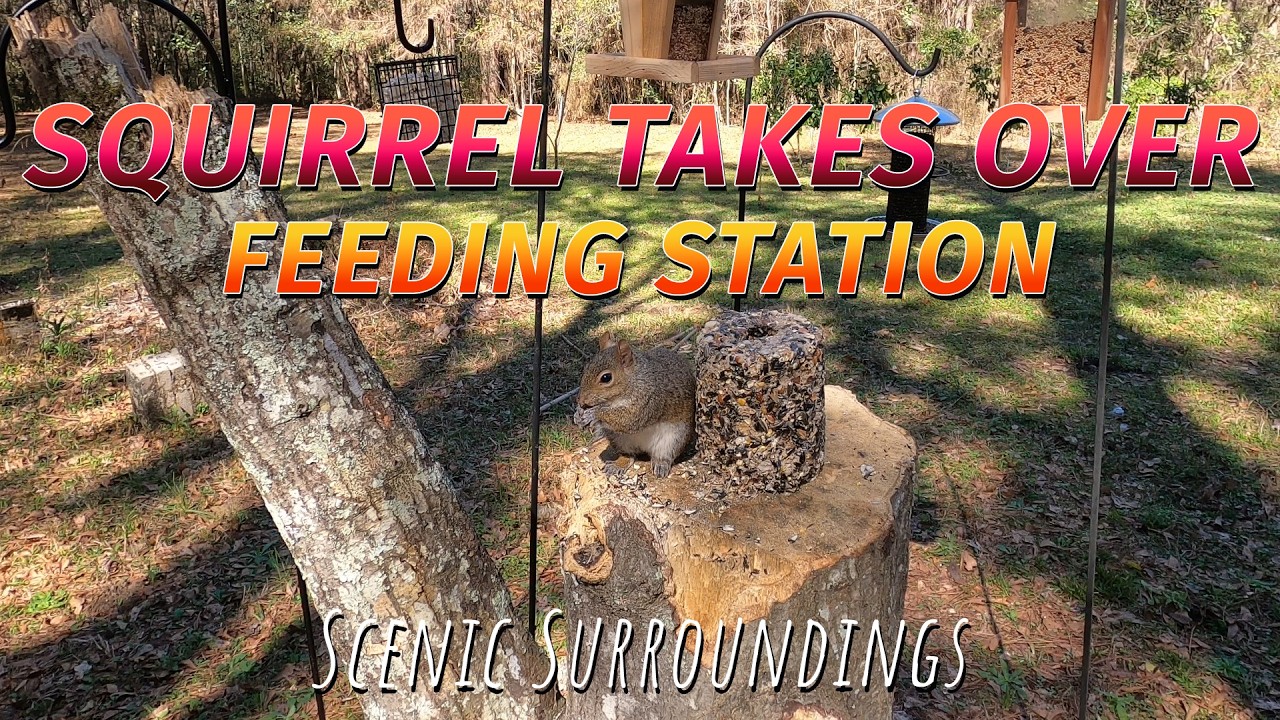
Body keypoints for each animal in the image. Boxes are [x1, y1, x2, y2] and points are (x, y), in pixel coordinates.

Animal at [574, 331, 695, 478]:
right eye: (586, 368)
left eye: (606, 378)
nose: (581, 400)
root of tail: (644, 447)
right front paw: (578, 415)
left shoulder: (648, 399)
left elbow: (629, 419)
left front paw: (593, 414)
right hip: (619, 439)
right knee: (629, 454)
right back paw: (618, 464)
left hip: (675, 438)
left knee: (665, 455)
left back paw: (661, 464)